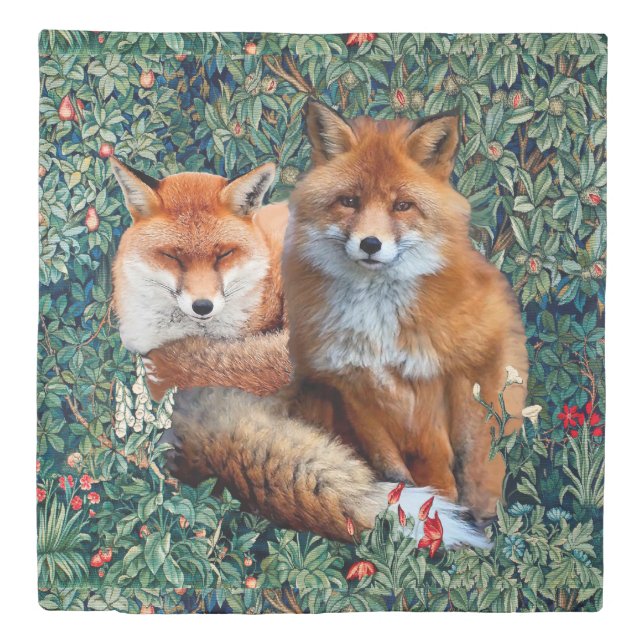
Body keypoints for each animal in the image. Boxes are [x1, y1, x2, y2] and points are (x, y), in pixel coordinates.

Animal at [165, 100, 528, 547]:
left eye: (402, 206)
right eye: (350, 201)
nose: (370, 244)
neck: (379, 325)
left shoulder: (459, 370)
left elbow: (465, 456)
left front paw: (466, 512)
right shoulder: (349, 384)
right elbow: (394, 468)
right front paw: (417, 514)